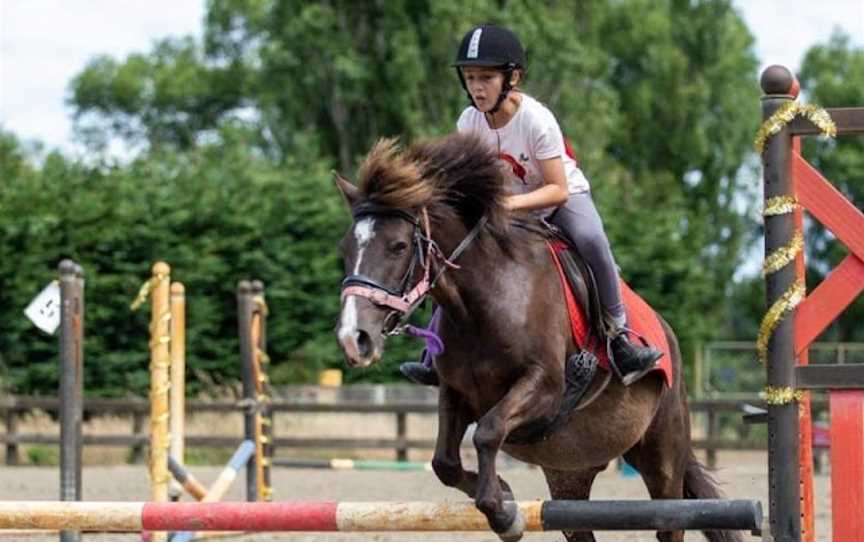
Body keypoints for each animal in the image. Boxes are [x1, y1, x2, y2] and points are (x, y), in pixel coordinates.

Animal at [334, 134, 740, 542]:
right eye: (346, 249)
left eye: (399, 246)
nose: (355, 338)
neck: (483, 303)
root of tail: (668, 334)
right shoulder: (455, 391)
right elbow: (444, 461)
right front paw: (505, 496)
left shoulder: (545, 387)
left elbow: (487, 432)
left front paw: (503, 512)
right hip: (569, 472)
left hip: (662, 455)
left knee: (671, 518)